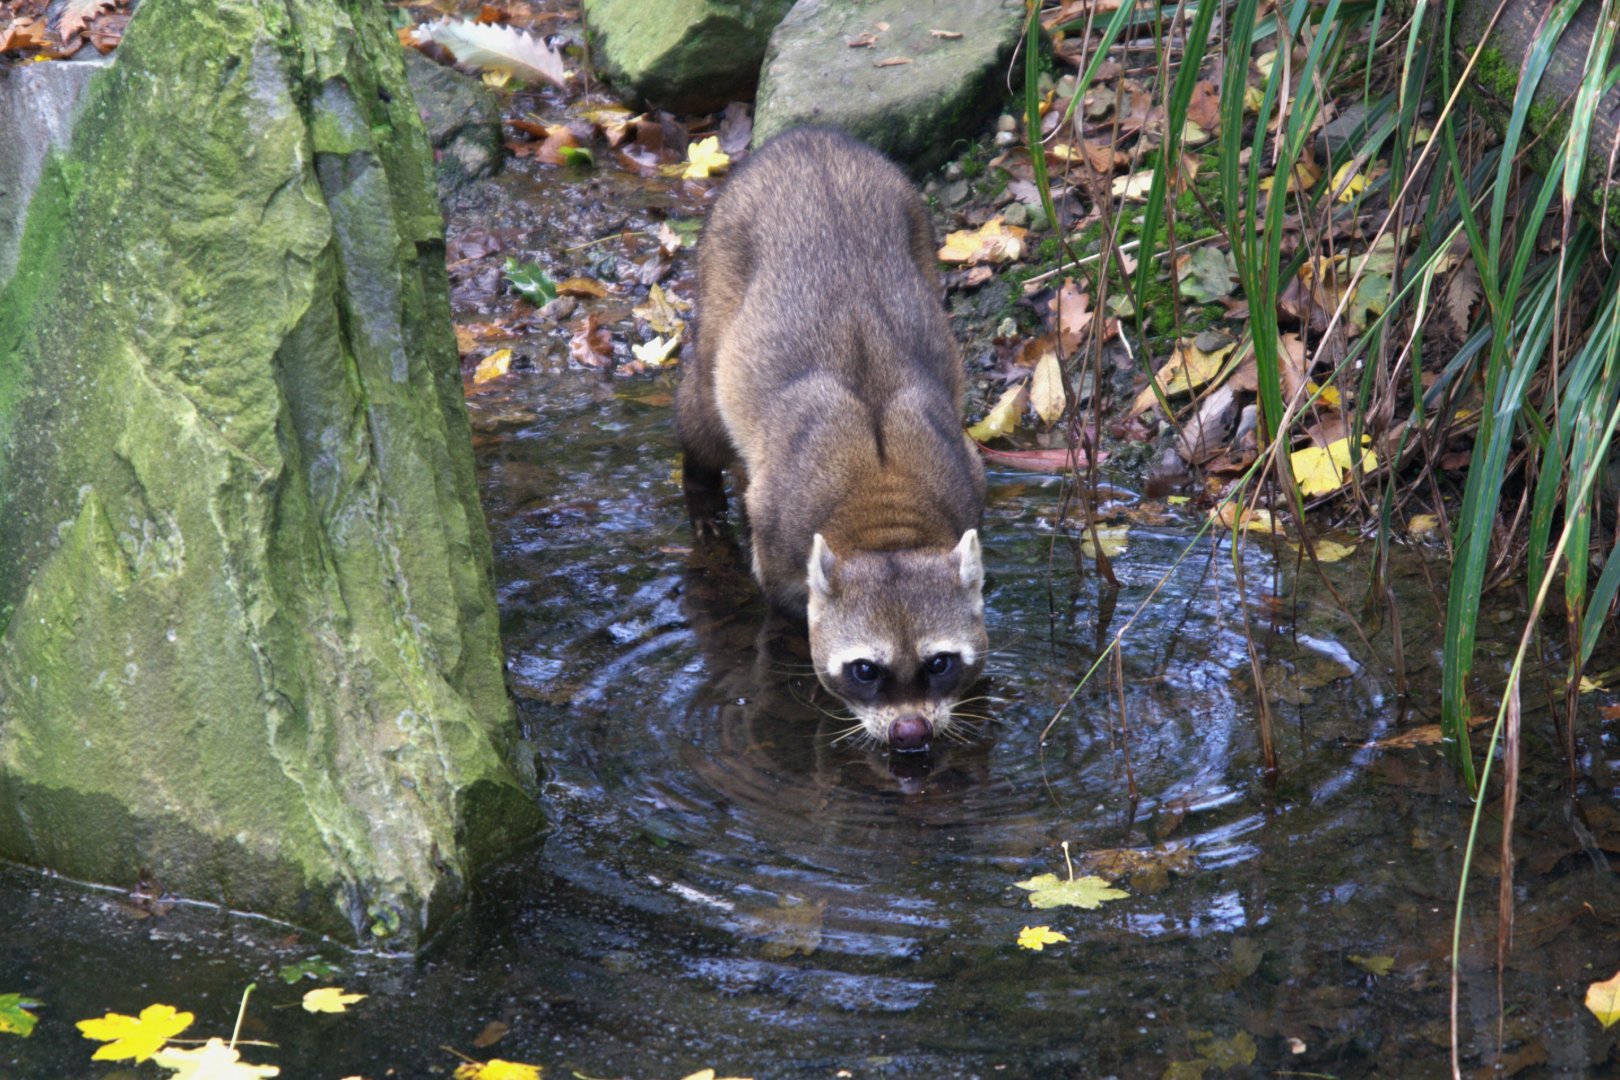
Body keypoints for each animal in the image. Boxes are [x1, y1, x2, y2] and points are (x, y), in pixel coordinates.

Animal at [675, 127, 988, 752]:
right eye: (866, 670)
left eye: (939, 662)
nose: (911, 734)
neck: (884, 522)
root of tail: (808, 137)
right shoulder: (779, 535)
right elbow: (786, 616)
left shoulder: (965, 472)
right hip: (718, 278)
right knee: (703, 412)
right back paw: (698, 481)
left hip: (917, 229)